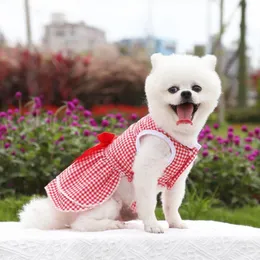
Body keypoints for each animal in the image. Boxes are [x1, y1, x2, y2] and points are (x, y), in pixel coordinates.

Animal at [19, 53, 221, 234]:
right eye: (173, 89)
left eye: (197, 88)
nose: (186, 93)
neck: (173, 132)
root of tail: (57, 211)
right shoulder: (146, 172)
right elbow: (149, 203)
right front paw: (152, 225)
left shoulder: (177, 179)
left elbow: (172, 204)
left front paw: (175, 223)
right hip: (108, 202)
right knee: (80, 223)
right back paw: (112, 224)